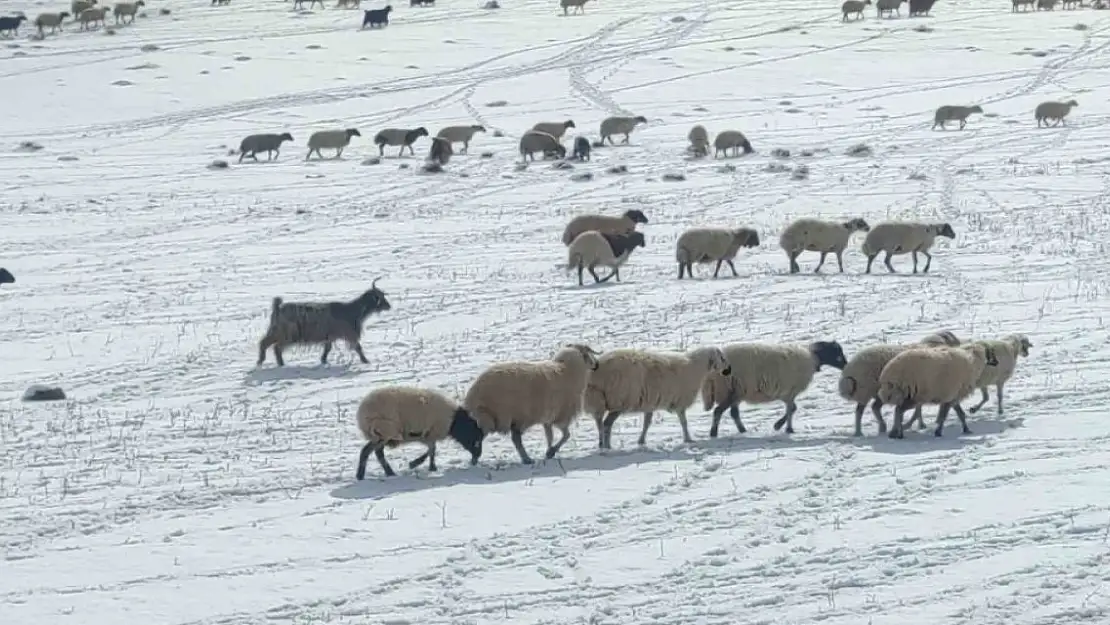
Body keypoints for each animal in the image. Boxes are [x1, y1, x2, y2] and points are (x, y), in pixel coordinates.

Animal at [255, 279, 390, 366]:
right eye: (380, 297)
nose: (389, 306)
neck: (352, 310)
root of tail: (278, 308)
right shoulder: (349, 334)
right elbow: (358, 347)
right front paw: (366, 361)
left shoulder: (330, 336)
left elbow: (328, 348)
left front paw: (323, 360)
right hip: (287, 334)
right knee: (276, 347)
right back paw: (280, 364)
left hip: (275, 331)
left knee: (264, 343)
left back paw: (261, 361)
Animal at [350, 386, 481, 479]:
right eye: (475, 437)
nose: (477, 458)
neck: (454, 421)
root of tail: (361, 414)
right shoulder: (430, 432)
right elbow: (432, 450)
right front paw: (420, 465)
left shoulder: (428, 434)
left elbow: (431, 450)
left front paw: (426, 466)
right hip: (384, 432)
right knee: (369, 451)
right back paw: (365, 475)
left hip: (380, 436)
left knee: (374, 452)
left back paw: (385, 473)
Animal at [461, 341, 603, 464]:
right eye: (588, 353)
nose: (597, 365)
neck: (566, 370)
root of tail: (473, 395)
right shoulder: (562, 415)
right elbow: (566, 435)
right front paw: (551, 452)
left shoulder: (548, 418)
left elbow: (550, 436)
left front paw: (549, 451)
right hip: (497, 417)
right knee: (493, 439)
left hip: (498, 418)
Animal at [586, 346, 732, 450]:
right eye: (722, 358)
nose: (729, 369)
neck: (695, 368)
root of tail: (597, 371)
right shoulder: (680, 403)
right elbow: (684, 422)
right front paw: (688, 439)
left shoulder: (649, 404)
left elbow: (647, 424)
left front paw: (641, 441)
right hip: (618, 401)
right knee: (606, 424)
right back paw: (607, 447)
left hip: (598, 399)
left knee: (600, 423)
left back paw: (602, 445)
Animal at [701, 341, 848, 435]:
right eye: (838, 354)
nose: (846, 366)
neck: (812, 358)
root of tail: (712, 373)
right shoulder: (790, 391)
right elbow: (791, 409)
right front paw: (784, 428)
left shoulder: (786, 393)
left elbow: (792, 408)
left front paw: (781, 426)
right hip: (733, 390)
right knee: (718, 411)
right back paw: (713, 433)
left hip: (736, 391)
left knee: (733, 413)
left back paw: (742, 431)